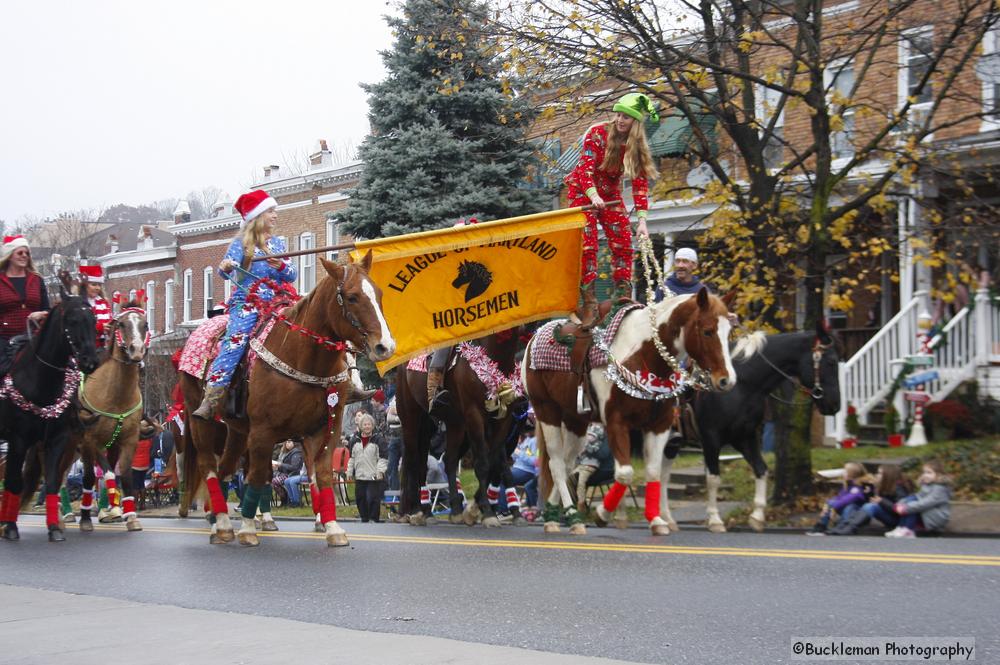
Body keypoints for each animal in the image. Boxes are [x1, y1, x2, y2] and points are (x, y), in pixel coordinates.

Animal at [0, 272, 99, 544]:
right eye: (72, 320)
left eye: (94, 319)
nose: (90, 361)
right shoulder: (18, 439)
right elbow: (13, 481)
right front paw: (10, 527)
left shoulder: (57, 438)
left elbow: (53, 481)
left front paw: (54, 527)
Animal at [394, 330, 528, 528]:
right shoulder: (474, 415)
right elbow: (483, 464)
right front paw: (487, 512)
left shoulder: (504, 421)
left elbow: (494, 463)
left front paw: (478, 507)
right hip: (410, 415)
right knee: (412, 460)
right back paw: (417, 511)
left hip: (447, 423)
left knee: (444, 460)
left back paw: (447, 511)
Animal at [524, 290, 756, 536]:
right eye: (707, 331)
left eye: (729, 331)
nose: (726, 380)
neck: (645, 355)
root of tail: (535, 336)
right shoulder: (616, 423)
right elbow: (625, 473)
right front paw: (603, 514)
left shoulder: (660, 425)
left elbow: (653, 472)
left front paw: (657, 520)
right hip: (546, 410)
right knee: (557, 464)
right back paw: (569, 517)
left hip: (575, 420)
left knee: (568, 464)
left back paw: (555, 515)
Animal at [668, 320, 840, 532]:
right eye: (831, 362)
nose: (835, 404)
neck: (742, 384)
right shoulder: (711, 438)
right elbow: (713, 478)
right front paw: (715, 520)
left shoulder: (745, 437)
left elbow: (761, 469)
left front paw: (757, 516)